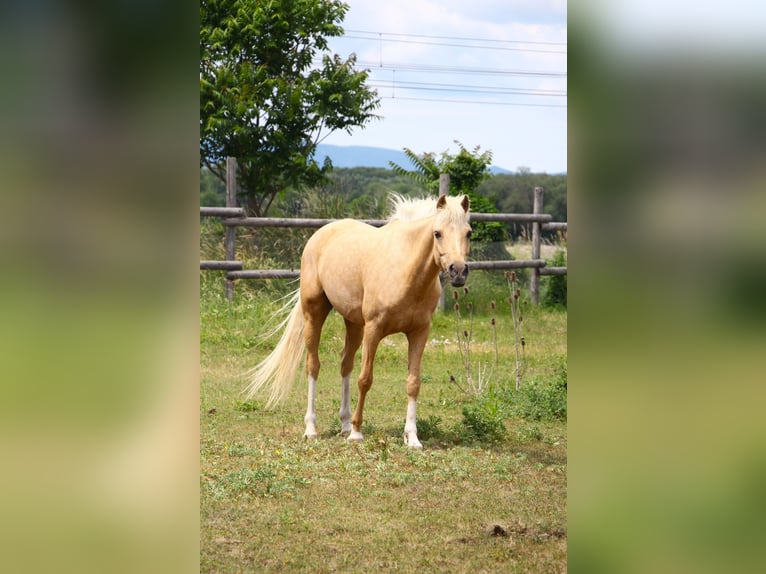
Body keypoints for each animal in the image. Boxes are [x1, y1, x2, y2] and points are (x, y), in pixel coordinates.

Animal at [244, 193, 471, 448]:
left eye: (468, 233)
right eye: (437, 233)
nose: (458, 271)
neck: (405, 270)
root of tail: (321, 234)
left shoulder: (419, 332)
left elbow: (413, 383)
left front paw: (412, 438)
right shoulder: (374, 329)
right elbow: (365, 379)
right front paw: (356, 432)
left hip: (353, 323)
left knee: (345, 364)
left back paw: (343, 423)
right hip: (314, 313)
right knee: (313, 366)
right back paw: (312, 428)